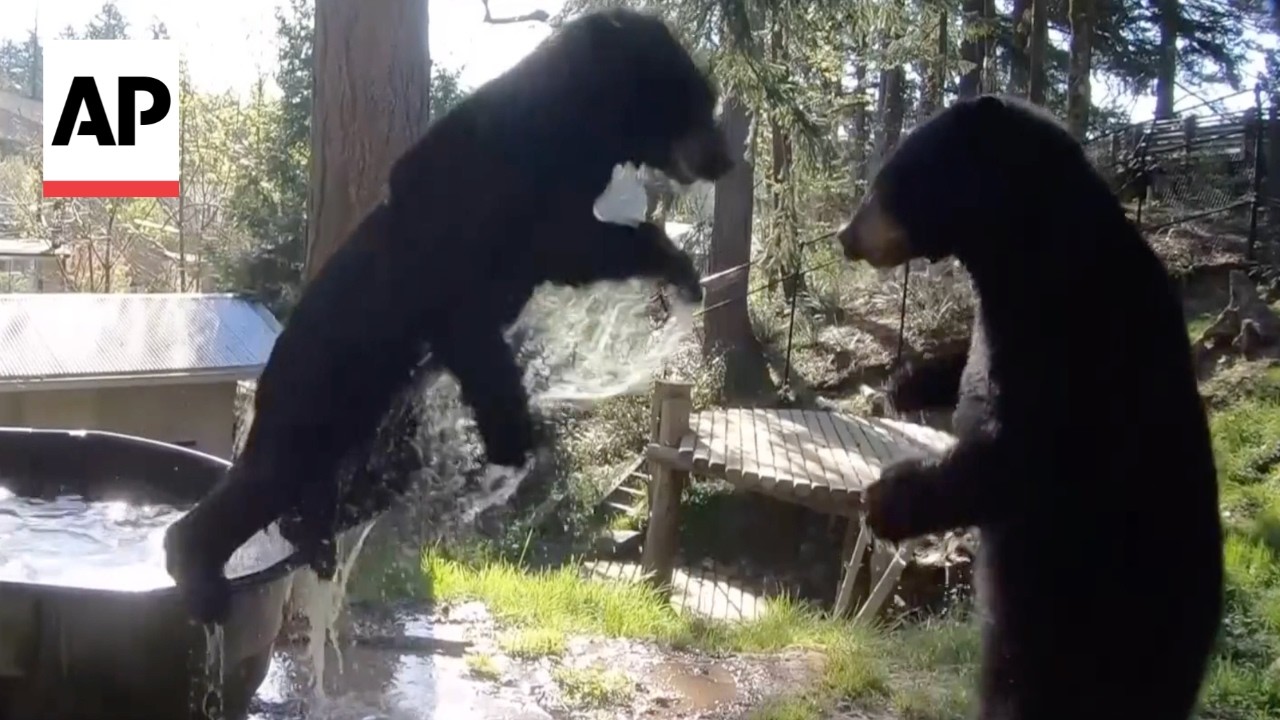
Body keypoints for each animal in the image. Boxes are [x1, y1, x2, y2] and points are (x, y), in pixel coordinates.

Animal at [163, 8, 734, 625]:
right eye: (699, 100)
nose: (728, 157)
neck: (575, 129)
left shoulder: (546, 214)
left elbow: (568, 250)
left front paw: (676, 264)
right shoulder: (480, 194)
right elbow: (538, 254)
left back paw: (317, 533)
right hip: (322, 386)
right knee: (269, 475)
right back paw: (200, 570)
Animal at [836, 95, 1223, 720]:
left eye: (888, 180)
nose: (845, 236)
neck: (1027, 252)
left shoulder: (1079, 339)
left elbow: (1024, 455)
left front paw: (885, 499)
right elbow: (967, 375)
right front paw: (906, 381)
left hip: (1094, 627)